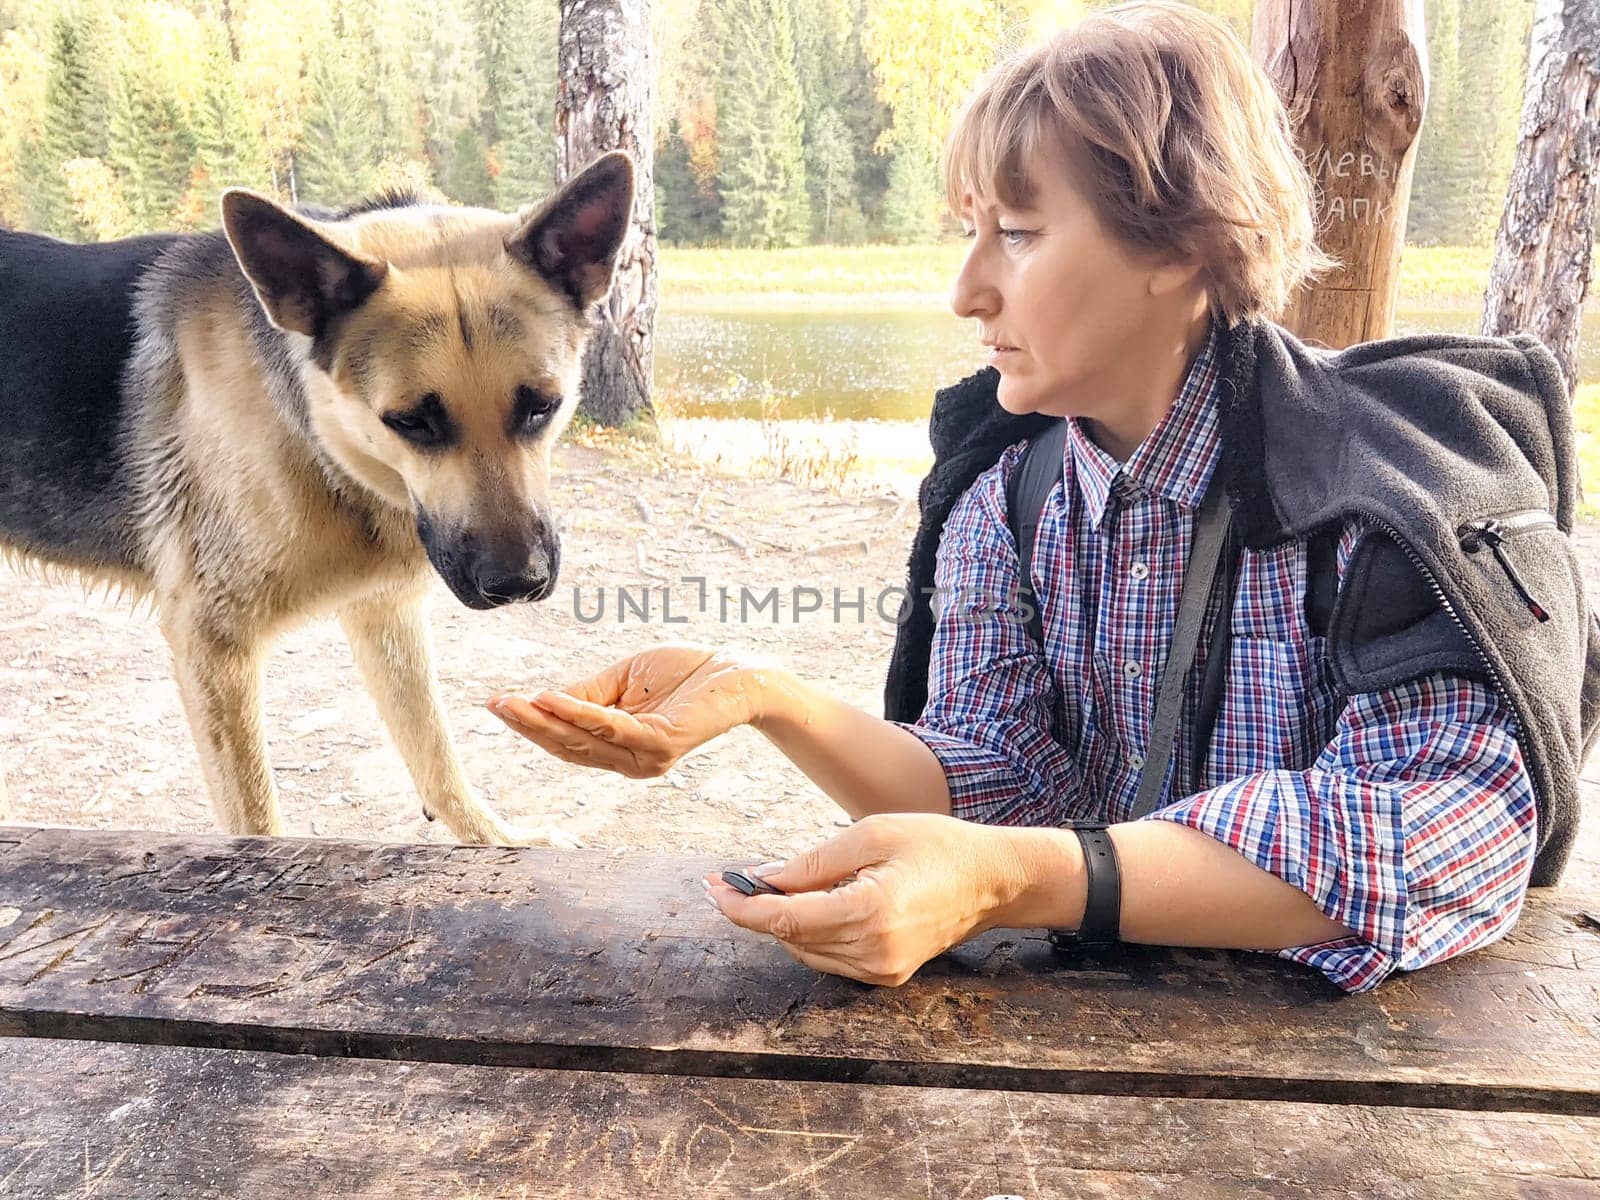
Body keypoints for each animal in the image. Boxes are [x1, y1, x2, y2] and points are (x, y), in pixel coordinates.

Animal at [0, 150, 636, 844]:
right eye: (411, 422)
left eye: (542, 407)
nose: (517, 584)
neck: (319, 443)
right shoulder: (213, 648)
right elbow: (255, 820)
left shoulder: (384, 612)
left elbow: (435, 752)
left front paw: (496, 842)